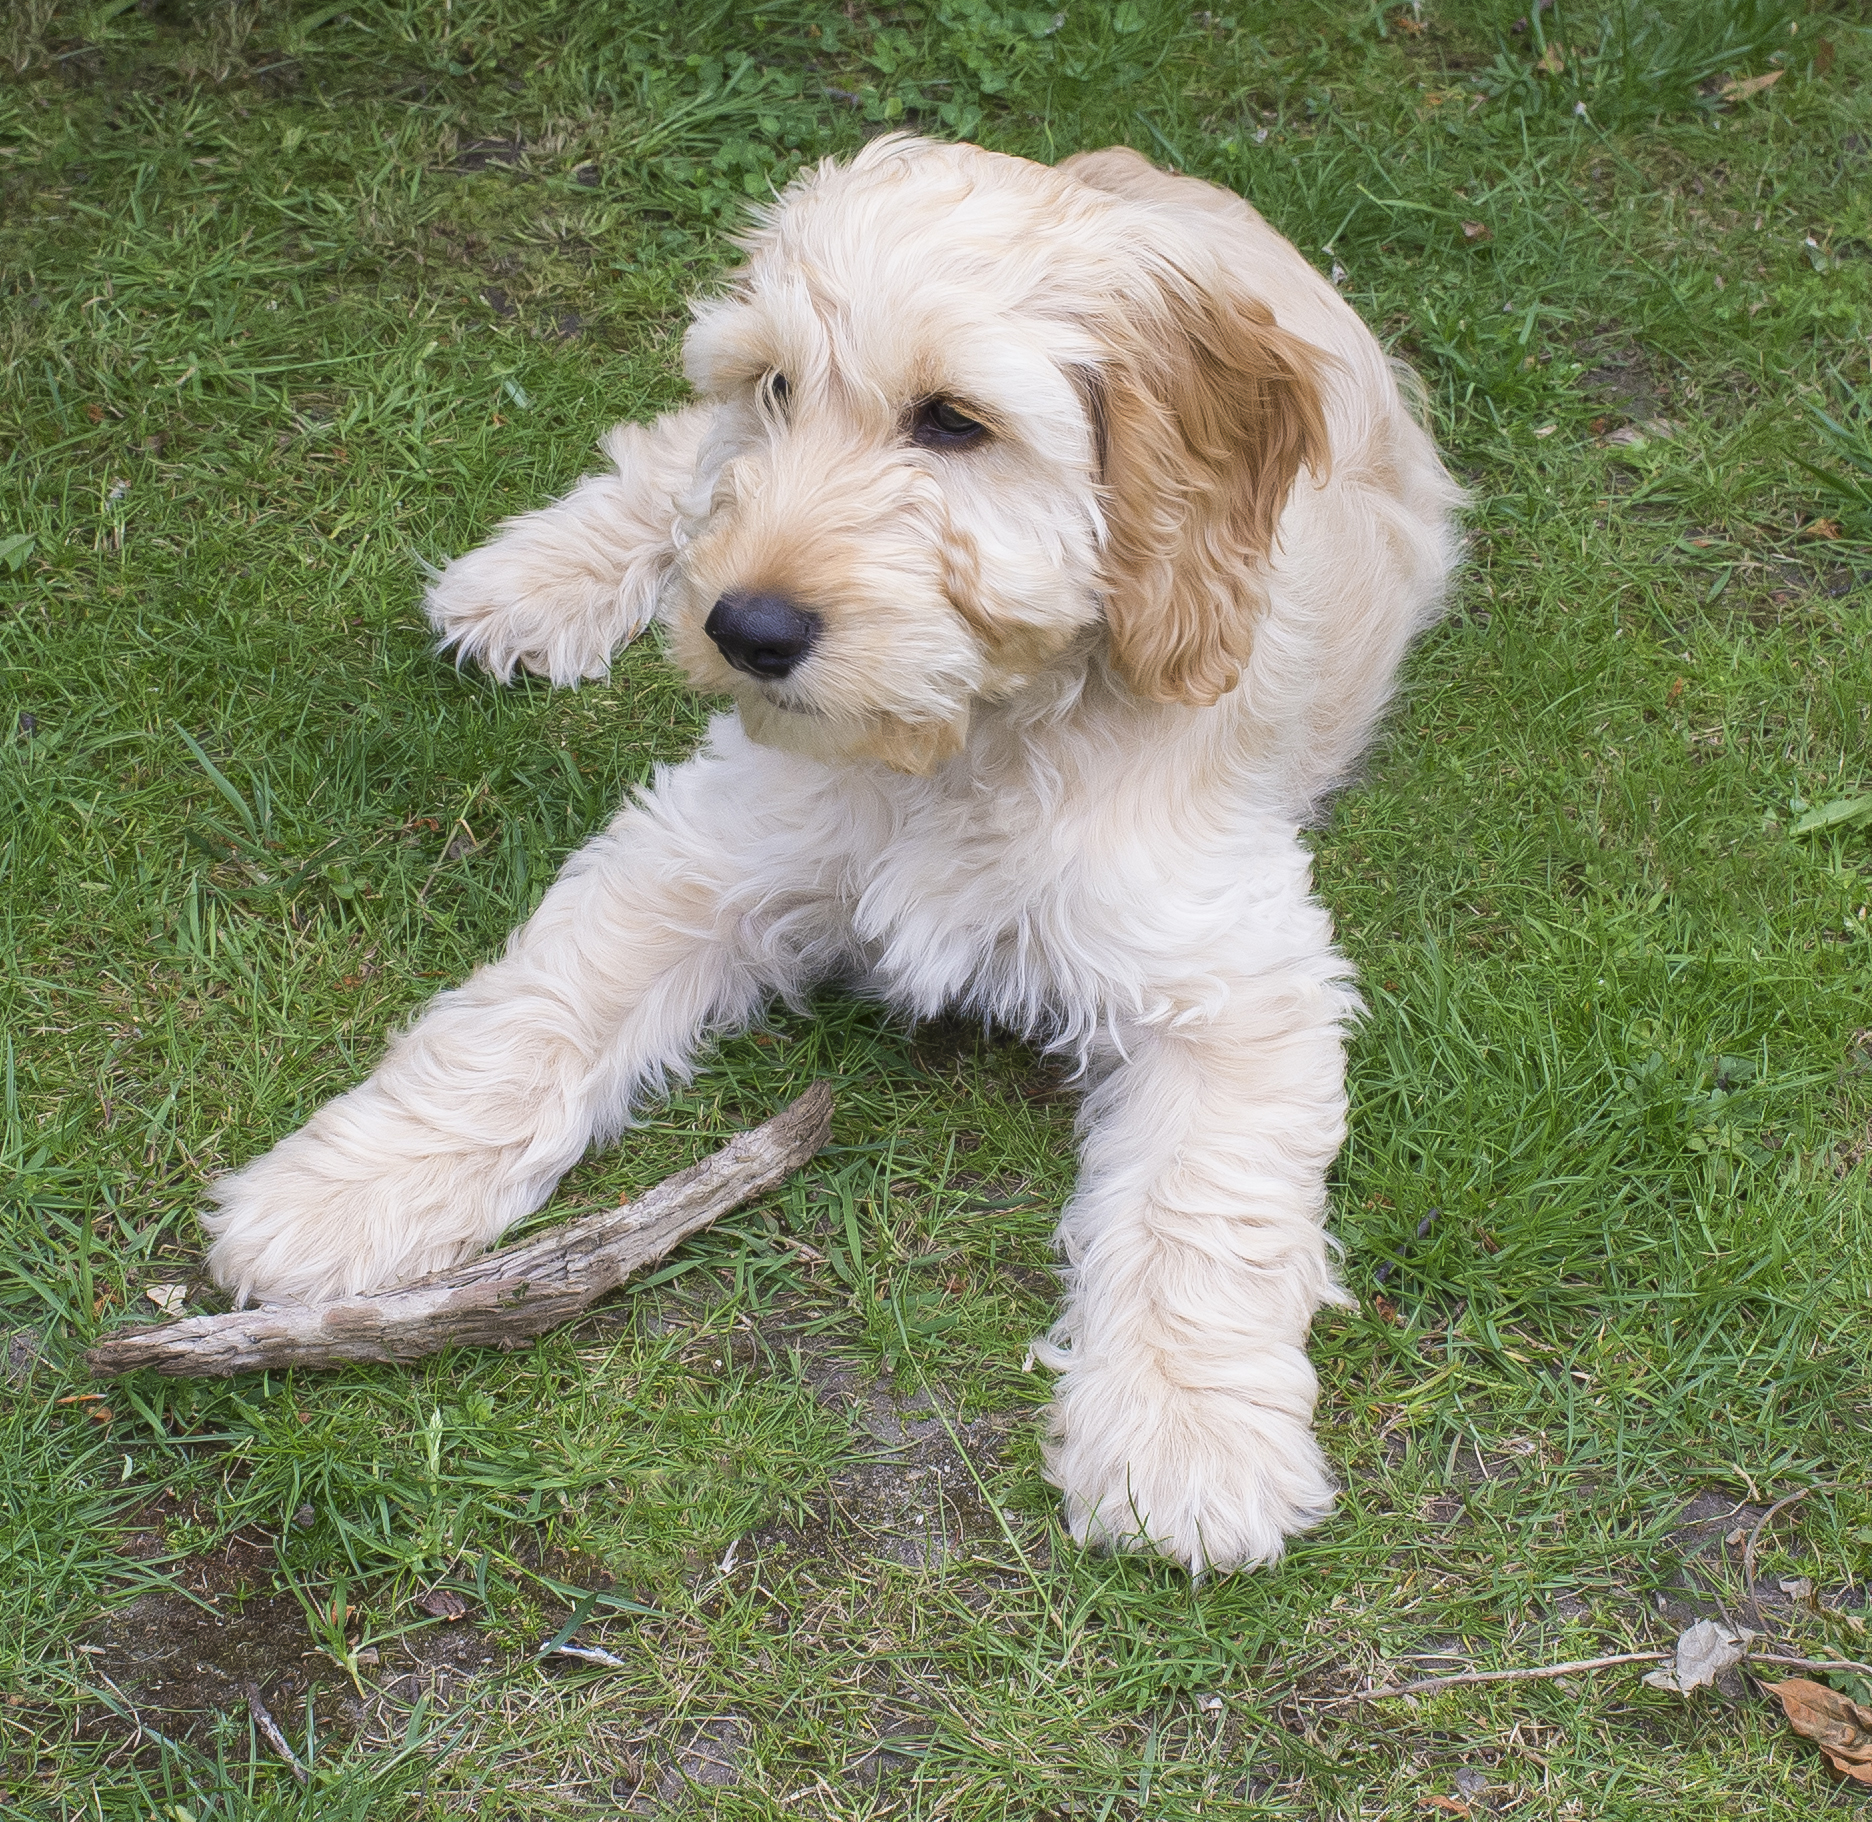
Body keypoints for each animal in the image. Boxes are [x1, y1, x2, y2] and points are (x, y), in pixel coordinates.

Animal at [204, 134, 1460, 1572]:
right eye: (778, 387)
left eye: (954, 422)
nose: (744, 628)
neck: (970, 736)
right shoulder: (708, 841)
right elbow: (529, 1014)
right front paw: (339, 1194)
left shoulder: (1234, 978)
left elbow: (1209, 1203)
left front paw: (1186, 1440)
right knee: (674, 459)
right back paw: (531, 581)